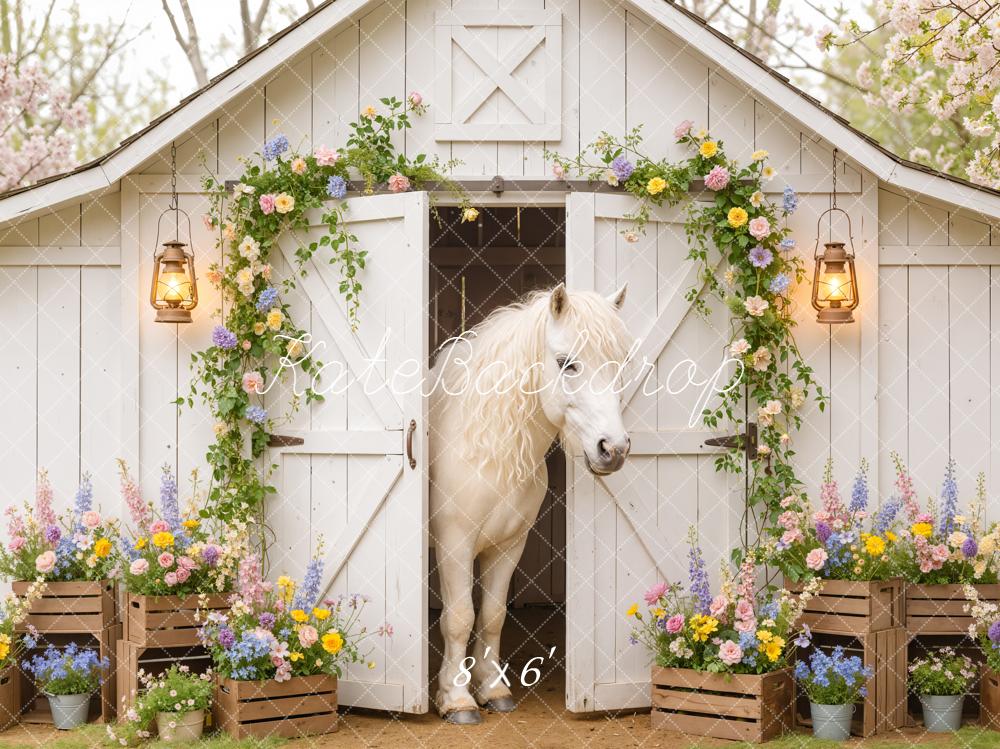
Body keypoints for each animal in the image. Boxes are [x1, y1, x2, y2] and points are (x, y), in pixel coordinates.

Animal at [428, 283, 633, 724]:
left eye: (620, 363)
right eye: (565, 364)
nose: (613, 449)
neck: (488, 450)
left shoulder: (509, 545)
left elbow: (492, 615)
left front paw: (492, 689)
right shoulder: (454, 543)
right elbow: (459, 617)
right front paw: (456, 699)